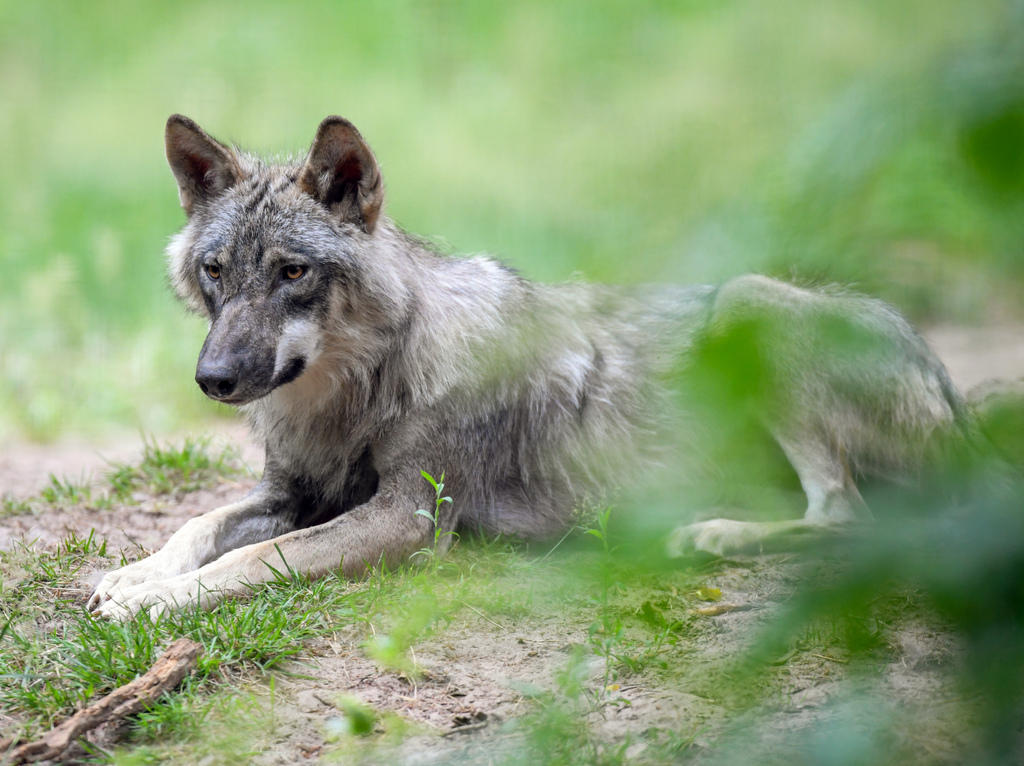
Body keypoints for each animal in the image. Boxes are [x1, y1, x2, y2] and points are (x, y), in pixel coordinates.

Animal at [86, 112, 958, 614]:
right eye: (216, 271)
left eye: (292, 272)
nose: (214, 380)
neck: (355, 391)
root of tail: (957, 407)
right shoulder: (289, 492)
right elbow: (200, 525)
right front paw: (137, 576)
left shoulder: (405, 518)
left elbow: (254, 559)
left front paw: (158, 600)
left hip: (749, 300)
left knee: (849, 518)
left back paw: (710, 535)